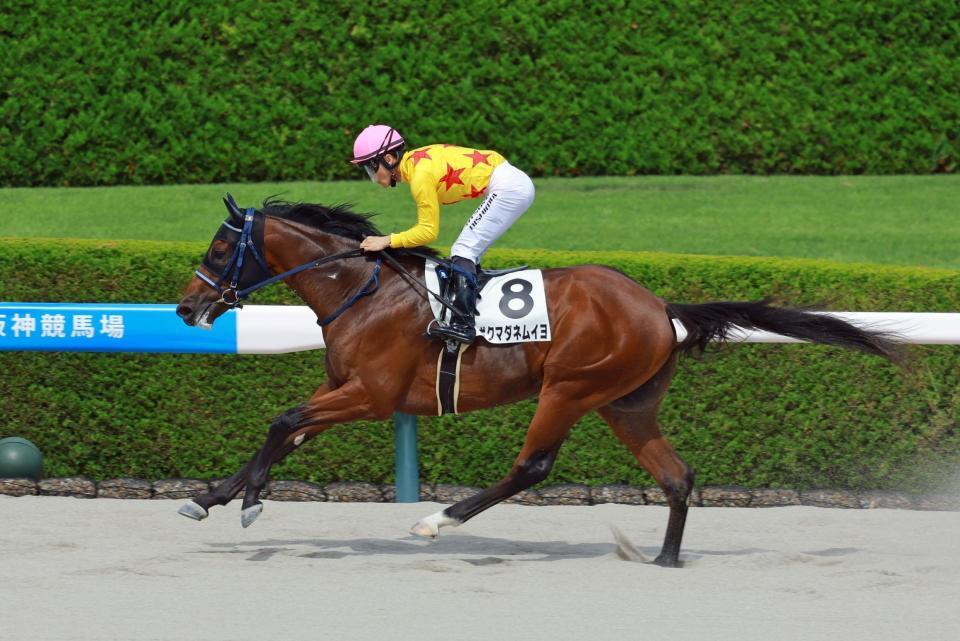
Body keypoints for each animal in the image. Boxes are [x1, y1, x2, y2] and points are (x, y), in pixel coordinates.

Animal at [174, 196, 901, 567]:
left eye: (219, 249)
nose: (186, 308)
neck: (362, 289)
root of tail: (660, 307)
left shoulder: (372, 396)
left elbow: (284, 421)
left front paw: (247, 501)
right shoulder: (345, 391)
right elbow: (285, 430)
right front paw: (211, 497)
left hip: (571, 388)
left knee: (533, 464)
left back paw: (436, 520)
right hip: (626, 404)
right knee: (676, 475)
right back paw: (664, 559)